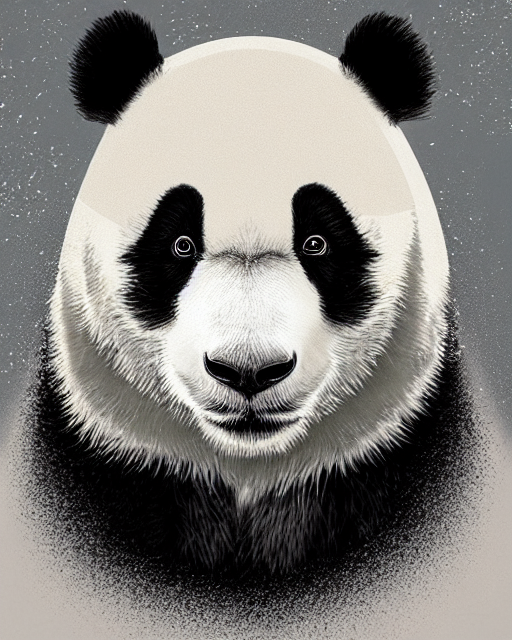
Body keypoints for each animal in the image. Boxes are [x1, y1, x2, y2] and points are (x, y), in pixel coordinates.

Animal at [30, 10, 474, 578]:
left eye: (318, 242)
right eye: (179, 243)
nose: (248, 371)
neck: (249, 473)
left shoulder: (400, 440)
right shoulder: (102, 447)